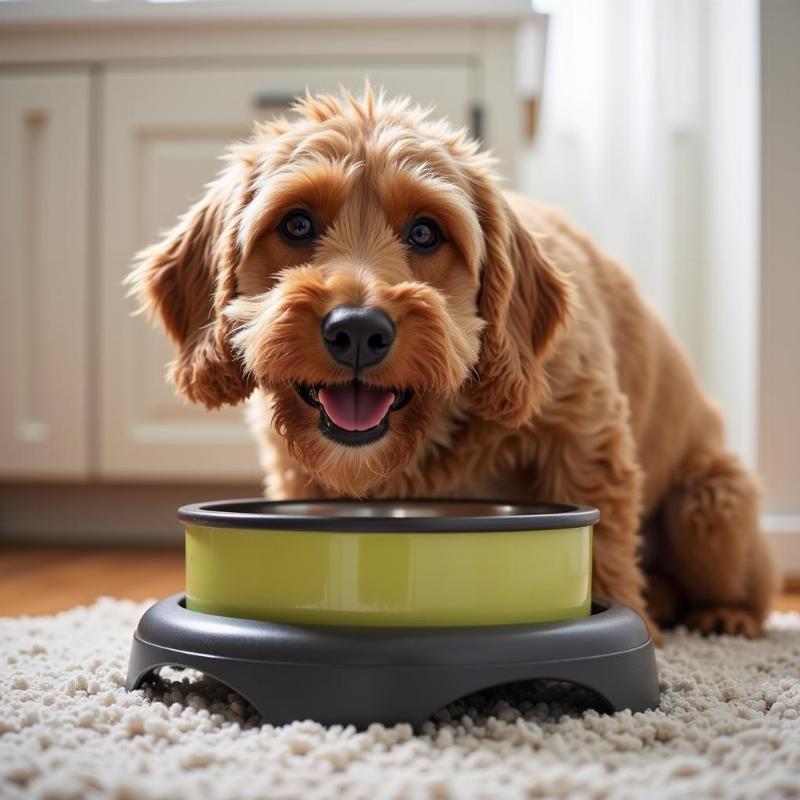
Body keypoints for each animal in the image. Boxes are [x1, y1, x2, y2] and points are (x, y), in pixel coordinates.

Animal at [130, 86, 776, 636]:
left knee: (756, 586)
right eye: (296, 222)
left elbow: (607, 548)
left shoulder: (589, 438)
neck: (433, 423)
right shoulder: (298, 476)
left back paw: (724, 614)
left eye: (425, 232)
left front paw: (624, 619)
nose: (357, 330)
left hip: (709, 508)